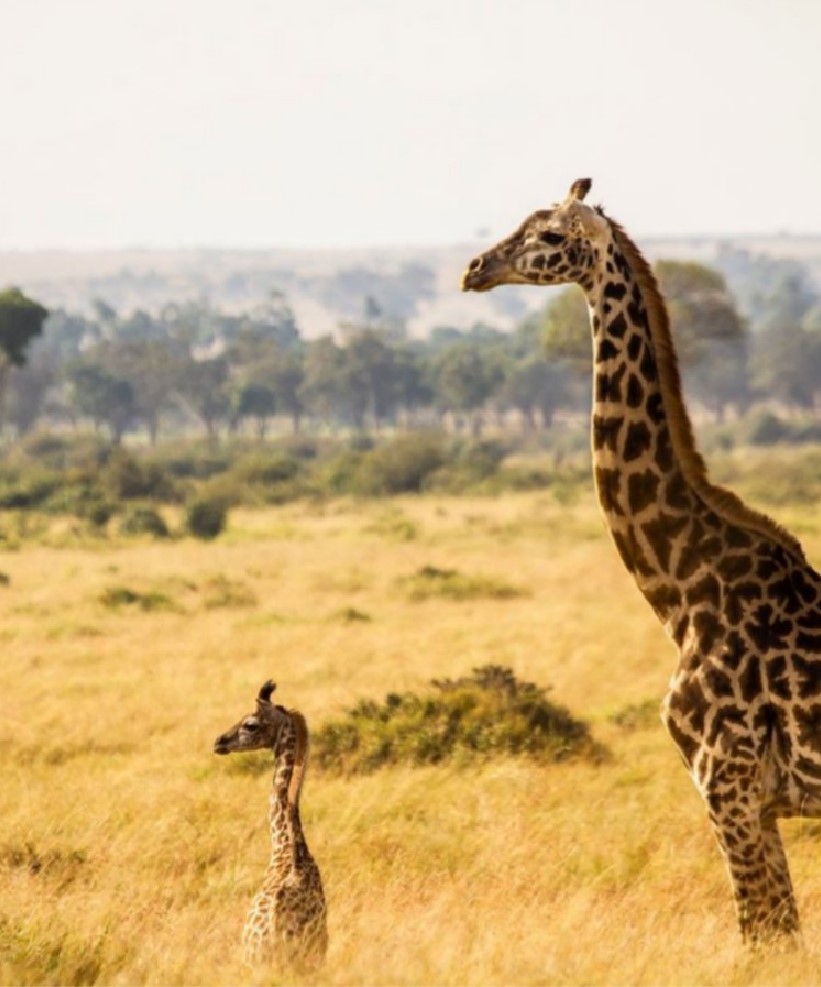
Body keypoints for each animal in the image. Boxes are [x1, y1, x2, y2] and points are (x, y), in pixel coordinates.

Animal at [464, 181, 820, 944]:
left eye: (546, 234)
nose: (474, 268)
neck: (682, 591)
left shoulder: (727, 786)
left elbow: (763, 936)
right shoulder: (755, 801)